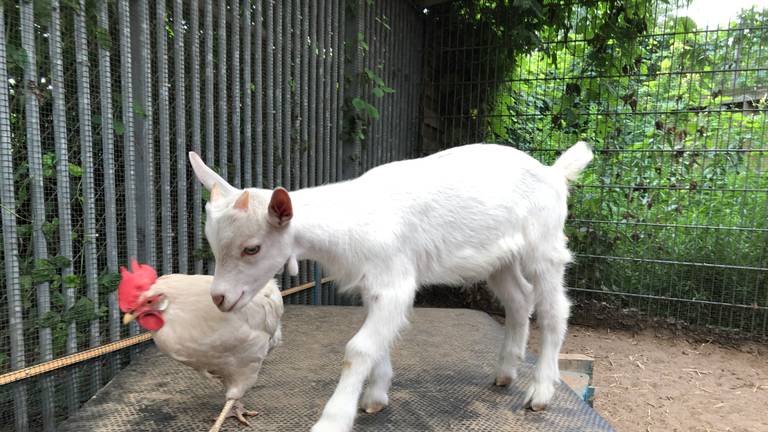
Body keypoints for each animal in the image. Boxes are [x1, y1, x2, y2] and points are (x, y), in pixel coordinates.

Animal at [188, 143, 592, 432]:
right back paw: (506, 372)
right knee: (518, 299)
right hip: (500, 259)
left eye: (252, 248)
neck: (350, 219)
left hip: (544, 245)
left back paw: (540, 391)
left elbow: (358, 348)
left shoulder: (395, 281)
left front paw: (333, 420)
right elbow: (376, 342)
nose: (219, 298)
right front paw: (376, 395)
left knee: (554, 310)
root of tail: (554, 173)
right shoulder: (372, 282)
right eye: (213, 244)